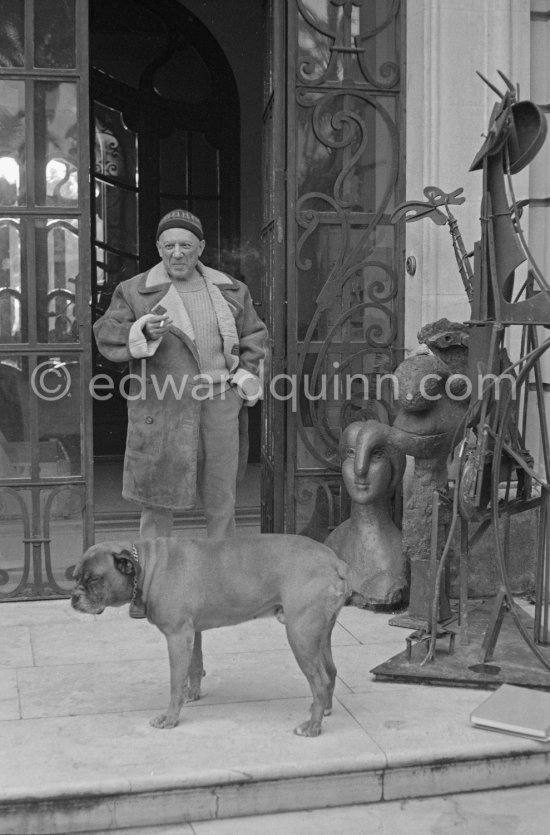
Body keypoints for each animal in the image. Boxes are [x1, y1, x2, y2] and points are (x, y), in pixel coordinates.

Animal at [71, 540, 352, 736]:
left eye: (94, 579)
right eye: (75, 577)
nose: (73, 597)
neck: (149, 568)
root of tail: (336, 561)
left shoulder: (177, 636)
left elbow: (175, 683)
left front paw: (170, 718)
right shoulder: (192, 633)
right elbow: (194, 667)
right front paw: (192, 694)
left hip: (300, 635)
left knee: (320, 681)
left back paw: (313, 727)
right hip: (320, 634)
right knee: (331, 671)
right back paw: (324, 709)